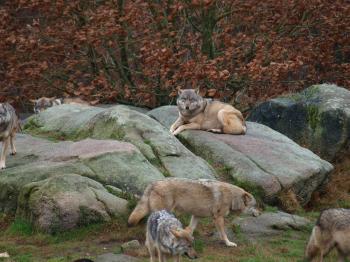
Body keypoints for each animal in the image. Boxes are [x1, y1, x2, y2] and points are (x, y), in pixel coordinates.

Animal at [127, 177, 258, 247]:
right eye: (255, 206)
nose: (259, 213)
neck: (232, 198)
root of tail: (154, 183)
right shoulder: (218, 218)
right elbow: (223, 234)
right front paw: (229, 243)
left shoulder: (196, 216)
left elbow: (190, 229)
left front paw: (187, 239)